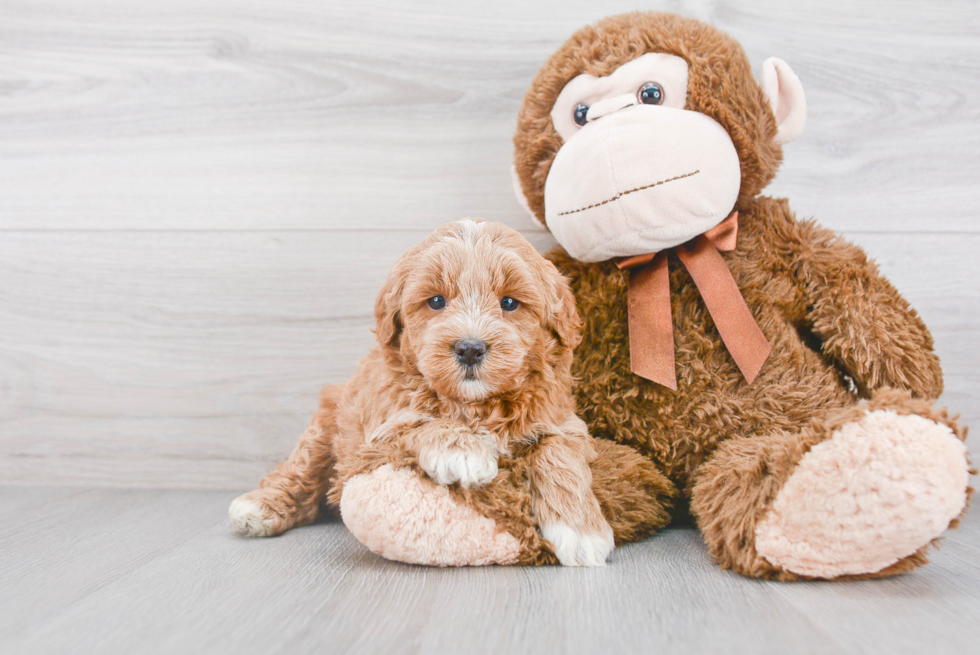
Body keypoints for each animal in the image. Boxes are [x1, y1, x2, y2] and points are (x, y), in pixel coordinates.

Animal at [231, 220, 616, 568]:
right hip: (325, 426)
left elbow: (559, 454)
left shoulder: (562, 422)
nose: (470, 348)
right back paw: (259, 506)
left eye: (509, 302)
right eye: (436, 301)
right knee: (301, 469)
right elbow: (421, 422)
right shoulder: (382, 428)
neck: (476, 405)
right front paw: (463, 450)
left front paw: (581, 532)